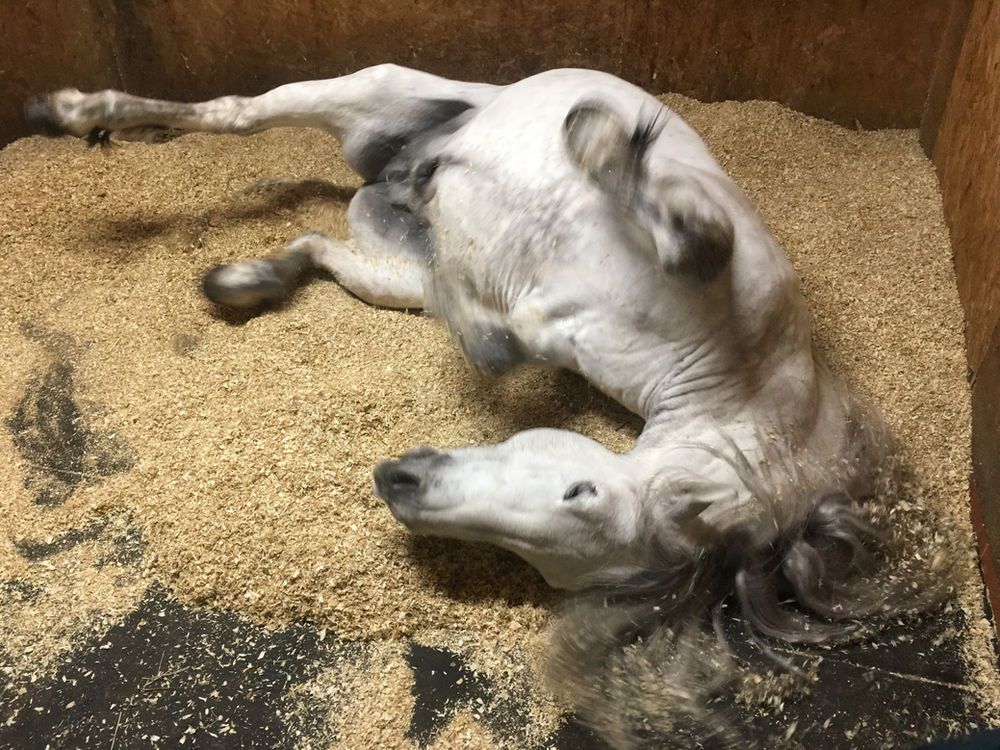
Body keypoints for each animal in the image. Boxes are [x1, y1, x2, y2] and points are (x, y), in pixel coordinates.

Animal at [26, 65, 937, 746]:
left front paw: (489, 306)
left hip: (387, 263)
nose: (401, 484)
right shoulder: (733, 266)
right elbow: (692, 240)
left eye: (545, 562)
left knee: (322, 243)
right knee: (239, 114)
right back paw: (78, 112)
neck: (732, 374)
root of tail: (387, 170)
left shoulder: (518, 318)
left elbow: (498, 341)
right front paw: (602, 146)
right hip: (372, 90)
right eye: (581, 491)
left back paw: (250, 276)